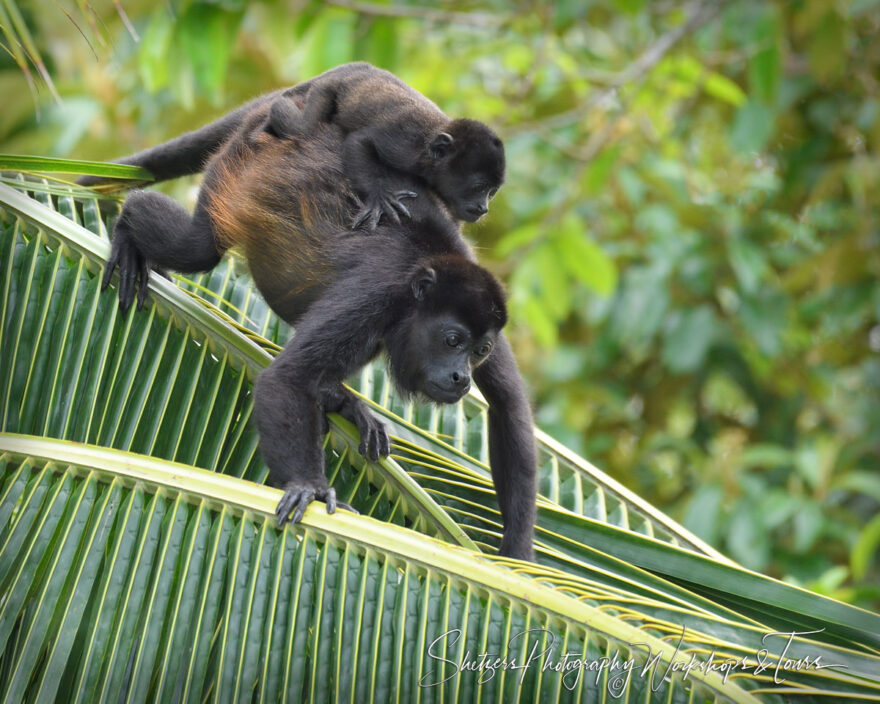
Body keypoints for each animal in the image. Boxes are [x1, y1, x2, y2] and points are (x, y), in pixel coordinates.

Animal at [94, 103, 536, 560]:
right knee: (198, 246)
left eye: (481, 350)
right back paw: (128, 229)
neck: (419, 285)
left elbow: (509, 409)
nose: (461, 377)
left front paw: (518, 559)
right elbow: (286, 378)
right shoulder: (376, 293)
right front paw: (310, 486)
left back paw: (340, 399)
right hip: (237, 162)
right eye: (452, 340)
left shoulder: (490, 307)